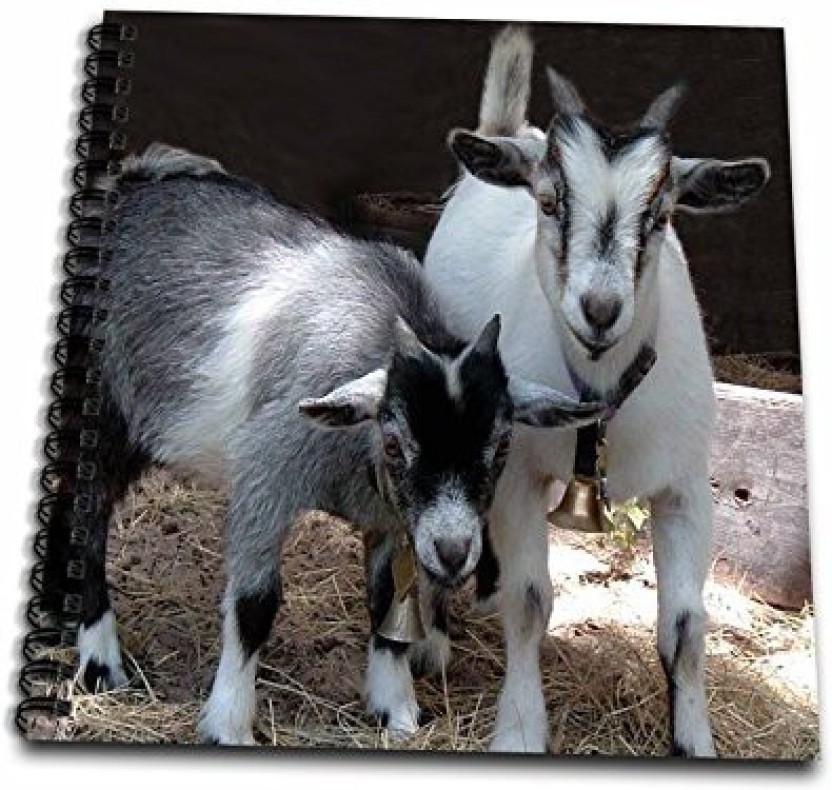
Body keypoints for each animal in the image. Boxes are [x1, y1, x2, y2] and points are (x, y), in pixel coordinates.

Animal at [66, 143, 606, 745]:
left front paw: (396, 709)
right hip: (104, 416)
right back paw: (99, 659)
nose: (452, 552)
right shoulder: (266, 477)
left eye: (502, 446)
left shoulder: (392, 519)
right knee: (87, 519)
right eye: (394, 443)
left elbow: (386, 603)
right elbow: (254, 605)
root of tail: (131, 184)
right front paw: (229, 723)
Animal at [423, 26, 770, 755]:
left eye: (663, 214)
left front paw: (694, 742)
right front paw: (520, 730)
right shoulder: (522, 474)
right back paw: (436, 637)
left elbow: (688, 627)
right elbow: (532, 602)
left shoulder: (686, 487)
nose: (601, 309)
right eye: (550, 202)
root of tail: (507, 135)